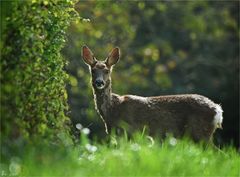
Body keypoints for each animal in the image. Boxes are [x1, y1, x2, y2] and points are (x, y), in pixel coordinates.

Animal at [82, 45, 223, 142]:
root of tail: (218, 110)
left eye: (106, 71)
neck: (112, 110)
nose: (99, 82)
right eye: (93, 71)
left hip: (199, 132)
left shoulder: (130, 131)